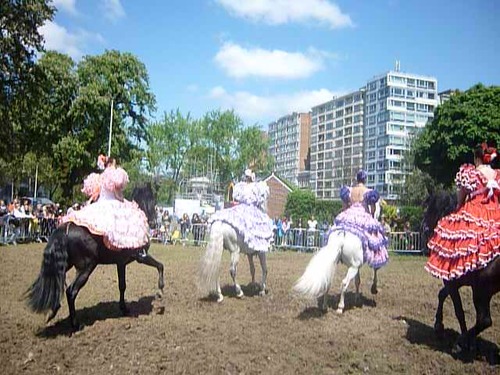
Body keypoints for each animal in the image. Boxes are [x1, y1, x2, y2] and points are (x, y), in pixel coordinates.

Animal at [25, 184, 164, 330]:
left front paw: (124, 308)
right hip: (87, 267)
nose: (154, 223)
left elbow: (122, 285)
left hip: (65, 264)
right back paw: (76, 324)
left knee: (57, 282)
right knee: (71, 291)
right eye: (152, 199)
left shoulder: (121, 263)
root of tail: (66, 229)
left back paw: (52, 312)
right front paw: (160, 291)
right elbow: (160, 266)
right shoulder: (141, 257)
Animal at [422, 191, 500, 356]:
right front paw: (439, 325)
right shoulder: (455, 281)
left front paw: (462, 340)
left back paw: (460, 343)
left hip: (481, 291)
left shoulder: (452, 282)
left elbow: (459, 310)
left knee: (484, 320)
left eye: (429, 207)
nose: (424, 228)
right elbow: (442, 294)